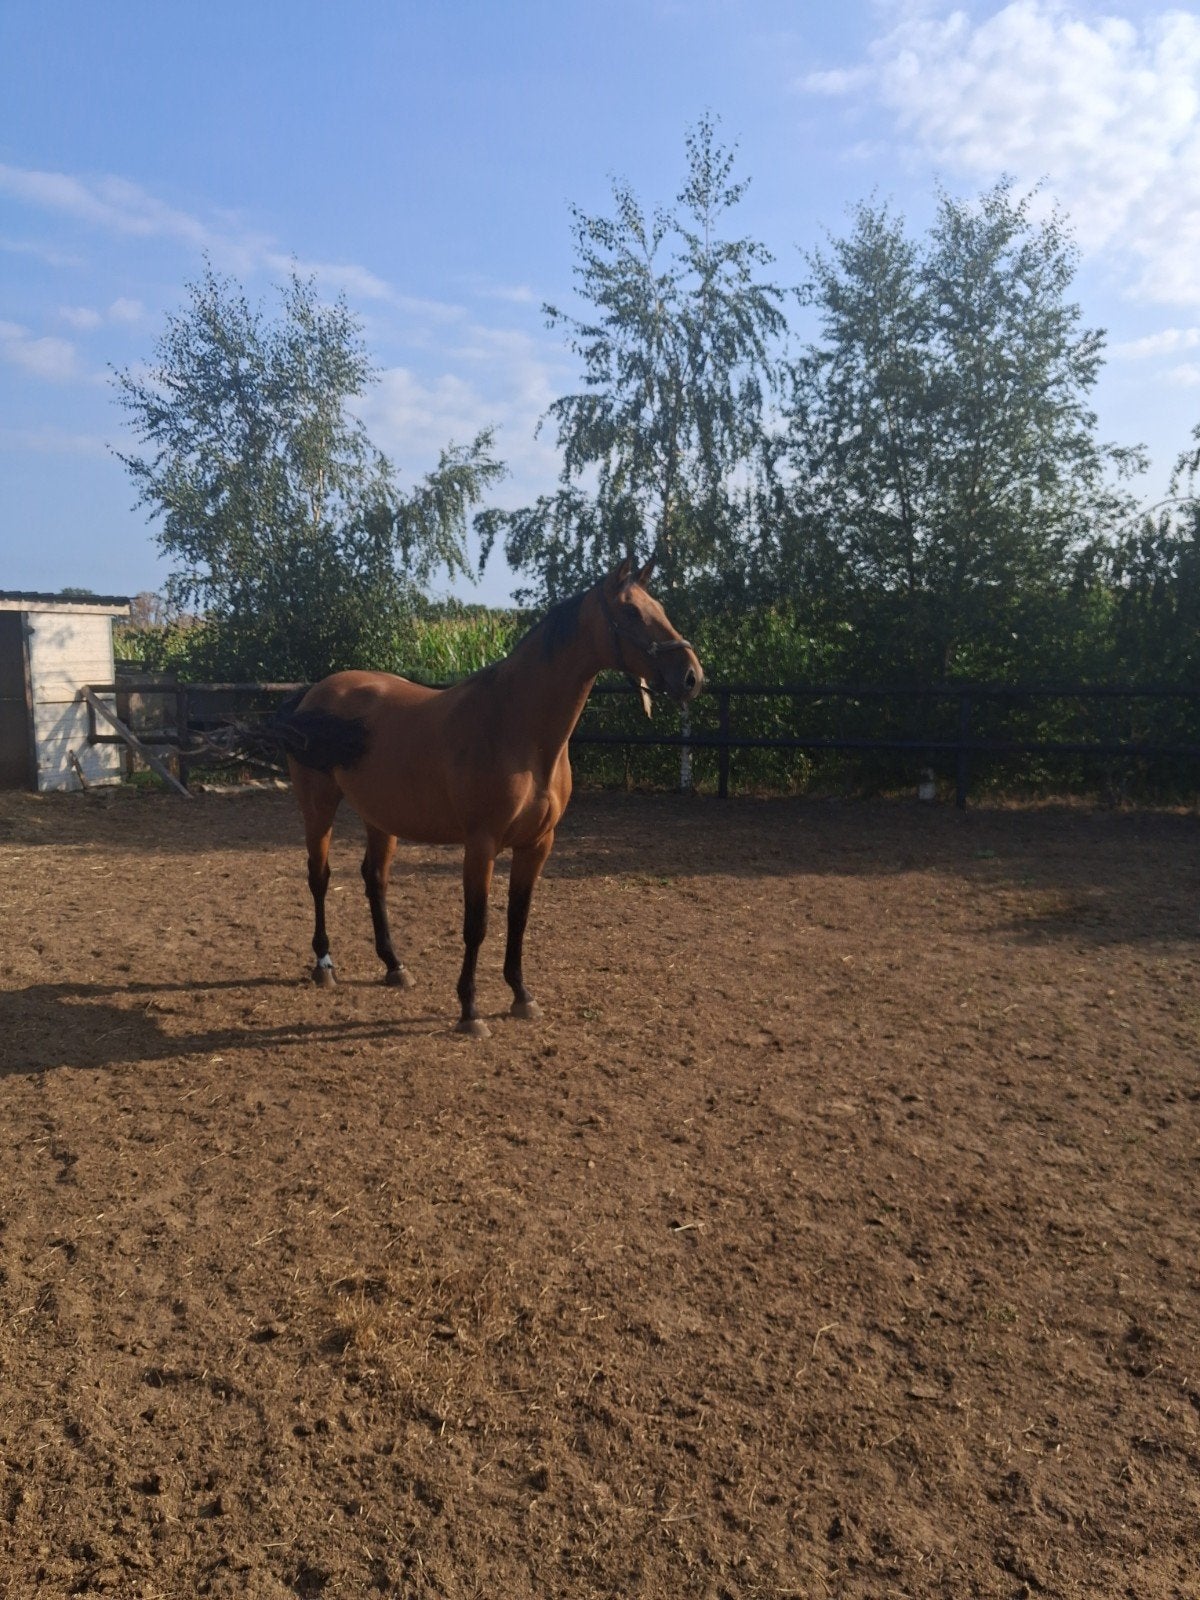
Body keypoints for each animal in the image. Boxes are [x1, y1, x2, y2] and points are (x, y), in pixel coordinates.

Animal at [275, 558, 704, 1036]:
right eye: (630, 612)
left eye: (659, 606)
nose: (691, 676)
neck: (516, 727)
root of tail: (313, 693)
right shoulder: (481, 845)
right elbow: (476, 924)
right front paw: (470, 1010)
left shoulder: (537, 844)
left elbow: (518, 917)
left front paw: (521, 995)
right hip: (318, 806)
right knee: (319, 877)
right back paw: (324, 965)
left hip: (380, 817)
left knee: (375, 879)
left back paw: (394, 965)